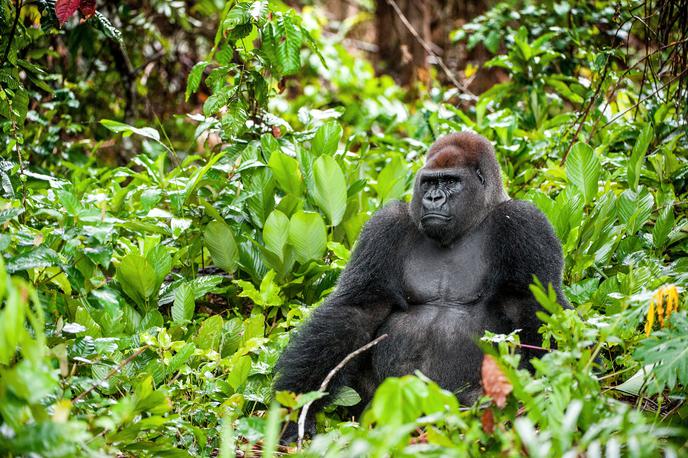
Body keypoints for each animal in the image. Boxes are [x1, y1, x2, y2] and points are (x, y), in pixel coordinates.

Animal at [272, 130, 568, 436]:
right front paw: (294, 409)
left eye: (450, 181)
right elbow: (358, 310)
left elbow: (532, 307)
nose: (433, 198)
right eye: (429, 182)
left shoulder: (525, 224)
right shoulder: (385, 225)